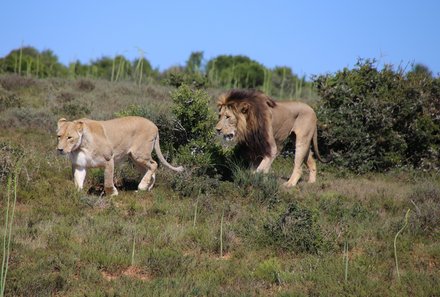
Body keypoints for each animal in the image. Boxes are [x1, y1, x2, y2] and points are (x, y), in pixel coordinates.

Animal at [56, 115, 184, 194]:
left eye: (69, 137)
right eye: (59, 136)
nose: (60, 149)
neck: (81, 147)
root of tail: (155, 126)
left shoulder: (109, 159)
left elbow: (108, 181)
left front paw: (113, 194)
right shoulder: (79, 165)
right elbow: (78, 181)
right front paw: (78, 195)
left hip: (139, 154)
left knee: (154, 164)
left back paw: (142, 186)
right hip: (135, 159)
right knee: (148, 170)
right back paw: (147, 188)